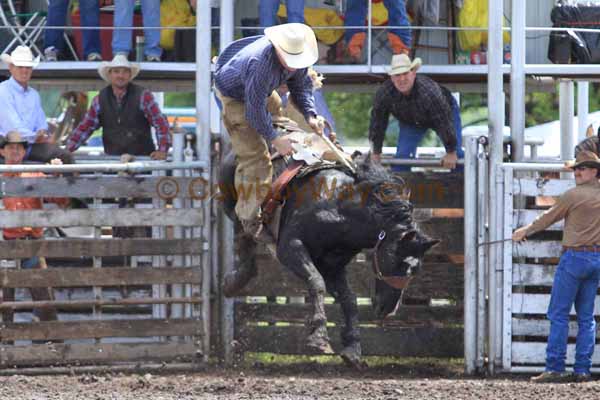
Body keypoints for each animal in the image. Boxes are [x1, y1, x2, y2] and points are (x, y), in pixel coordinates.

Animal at [218, 122, 438, 368]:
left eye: (416, 270)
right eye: (397, 262)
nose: (389, 310)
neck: (343, 207)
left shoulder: (333, 265)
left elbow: (349, 299)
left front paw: (352, 348)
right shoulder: (290, 246)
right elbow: (316, 282)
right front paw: (319, 336)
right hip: (232, 200)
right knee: (243, 233)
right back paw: (234, 281)